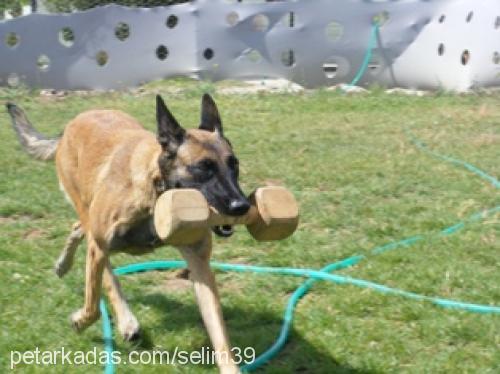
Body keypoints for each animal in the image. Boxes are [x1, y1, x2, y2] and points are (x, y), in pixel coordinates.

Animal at [6, 94, 250, 374]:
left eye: (234, 165)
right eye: (203, 167)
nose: (242, 206)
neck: (158, 192)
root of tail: (71, 125)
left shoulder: (200, 267)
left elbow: (219, 333)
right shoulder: (100, 245)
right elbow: (94, 304)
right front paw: (80, 320)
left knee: (78, 228)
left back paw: (64, 265)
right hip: (92, 224)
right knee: (102, 268)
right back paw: (124, 319)